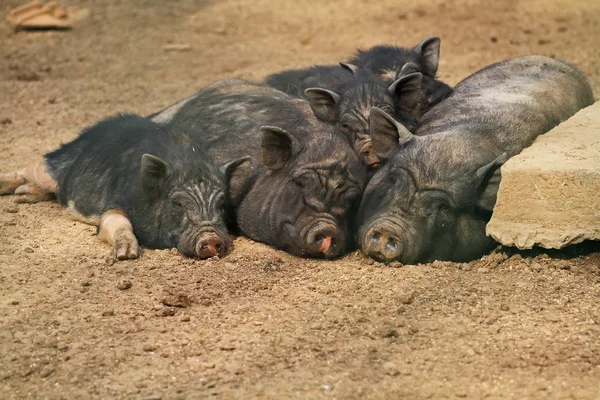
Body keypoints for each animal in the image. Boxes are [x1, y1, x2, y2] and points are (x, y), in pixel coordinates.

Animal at [0, 114, 248, 260]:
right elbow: (115, 220)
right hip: (52, 164)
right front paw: (126, 255)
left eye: (222, 205)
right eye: (177, 203)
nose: (211, 238)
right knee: (33, 167)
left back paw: (23, 196)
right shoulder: (115, 203)